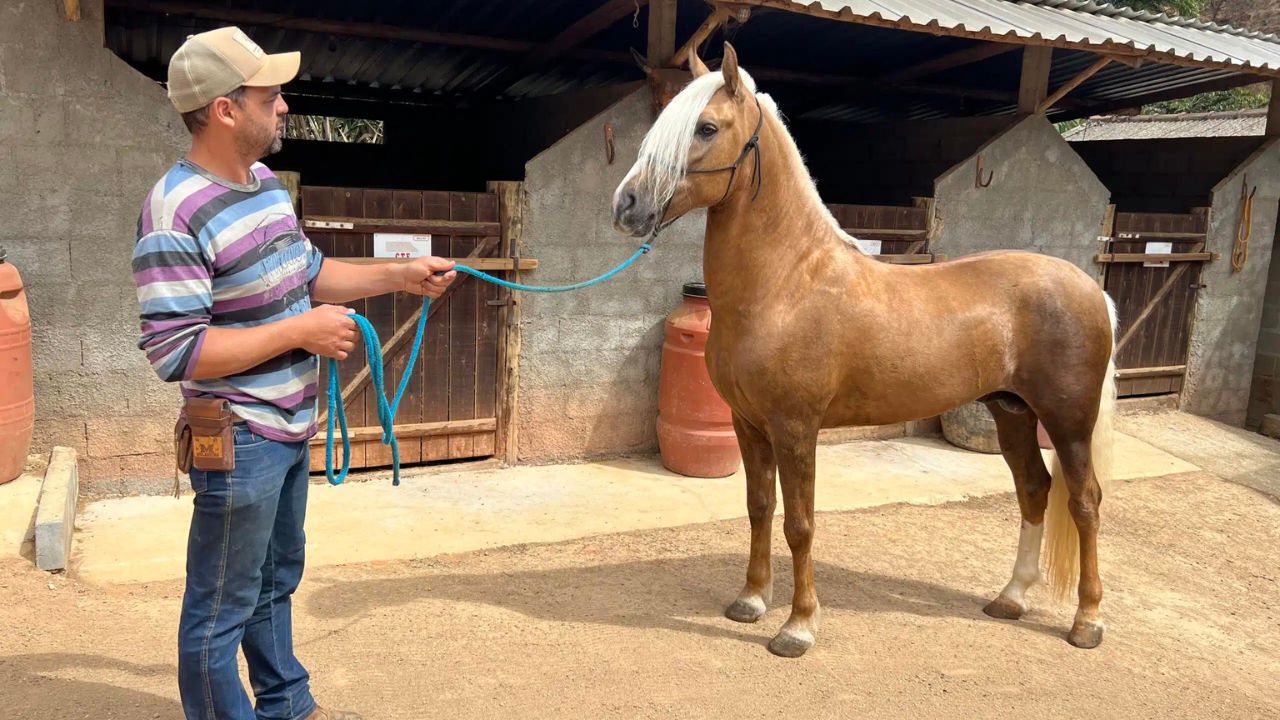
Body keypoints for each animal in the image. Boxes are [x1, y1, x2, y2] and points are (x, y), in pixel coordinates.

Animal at [614, 40, 1116, 655]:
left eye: (707, 127)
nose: (627, 204)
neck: (787, 283)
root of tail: (1089, 287)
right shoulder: (747, 424)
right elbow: (759, 509)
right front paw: (751, 601)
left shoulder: (795, 428)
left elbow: (799, 523)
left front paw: (798, 626)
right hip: (1012, 413)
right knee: (1034, 489)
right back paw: (1011, 598)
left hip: (1068, 421)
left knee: (1084, 502)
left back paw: (1087, 621)